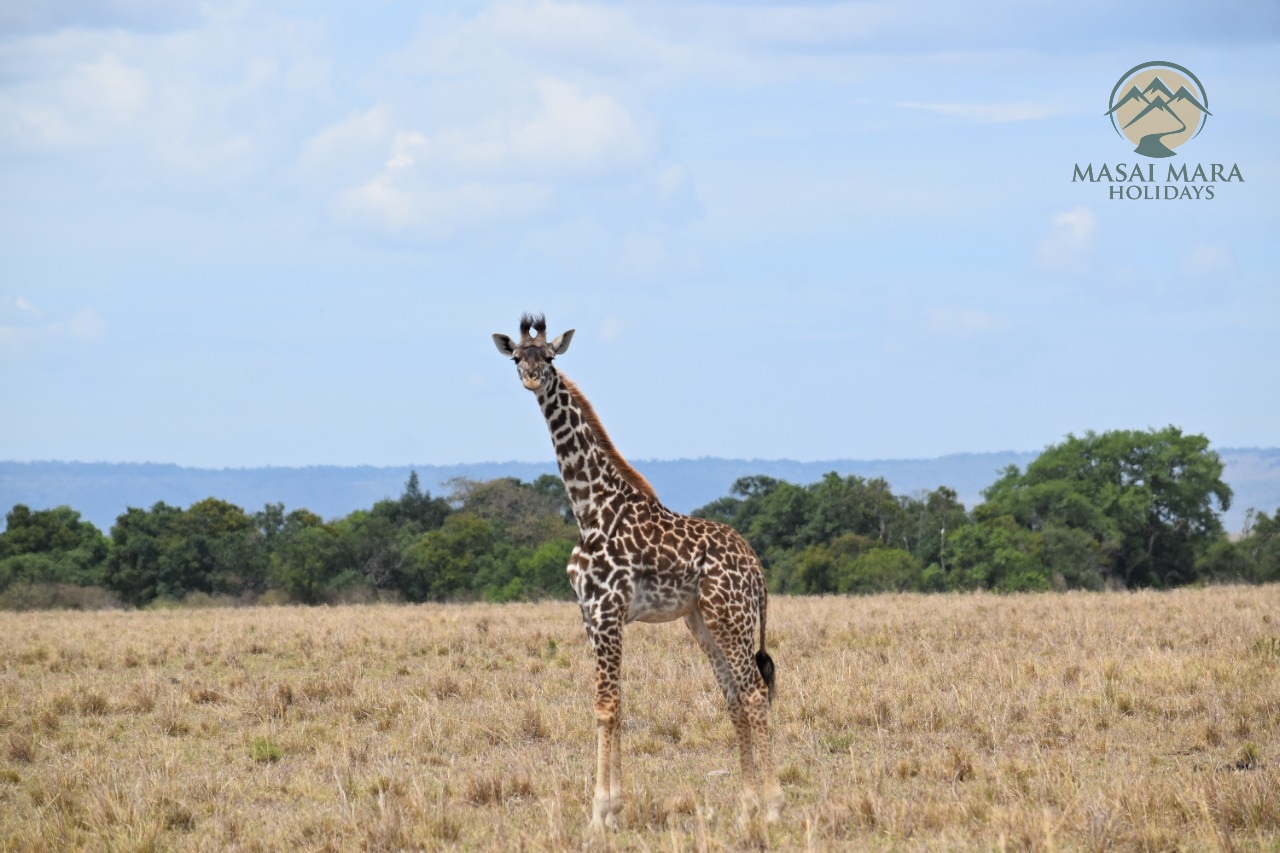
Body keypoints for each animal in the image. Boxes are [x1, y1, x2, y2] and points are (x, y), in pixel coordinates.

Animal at [494, 313, 783, 829]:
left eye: (549, 356)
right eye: (516, 357)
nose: (532, 377)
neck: (590, 510)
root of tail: (756, 568)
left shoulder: (608, 611)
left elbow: (606, 705)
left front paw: (601, 813)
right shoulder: (590, 615)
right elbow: (615, 705)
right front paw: (612, 808)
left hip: (730, 617)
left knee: (752, 693)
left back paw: (771, 807)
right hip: (703, 621)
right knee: (733, 697)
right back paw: (746, 807)